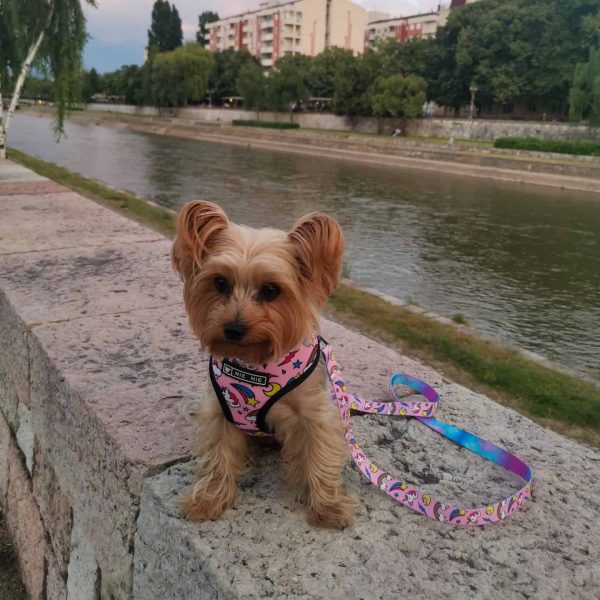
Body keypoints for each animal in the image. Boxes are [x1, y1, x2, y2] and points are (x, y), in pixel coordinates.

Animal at [171, 199, 354, 528]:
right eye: (220, 283)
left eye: (271, 290)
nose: (233, 329)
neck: (255, 364)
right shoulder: (220, 411)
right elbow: (217, 455)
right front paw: (208, 500)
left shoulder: (315, 415)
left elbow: (319, 454)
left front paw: (328, 507)